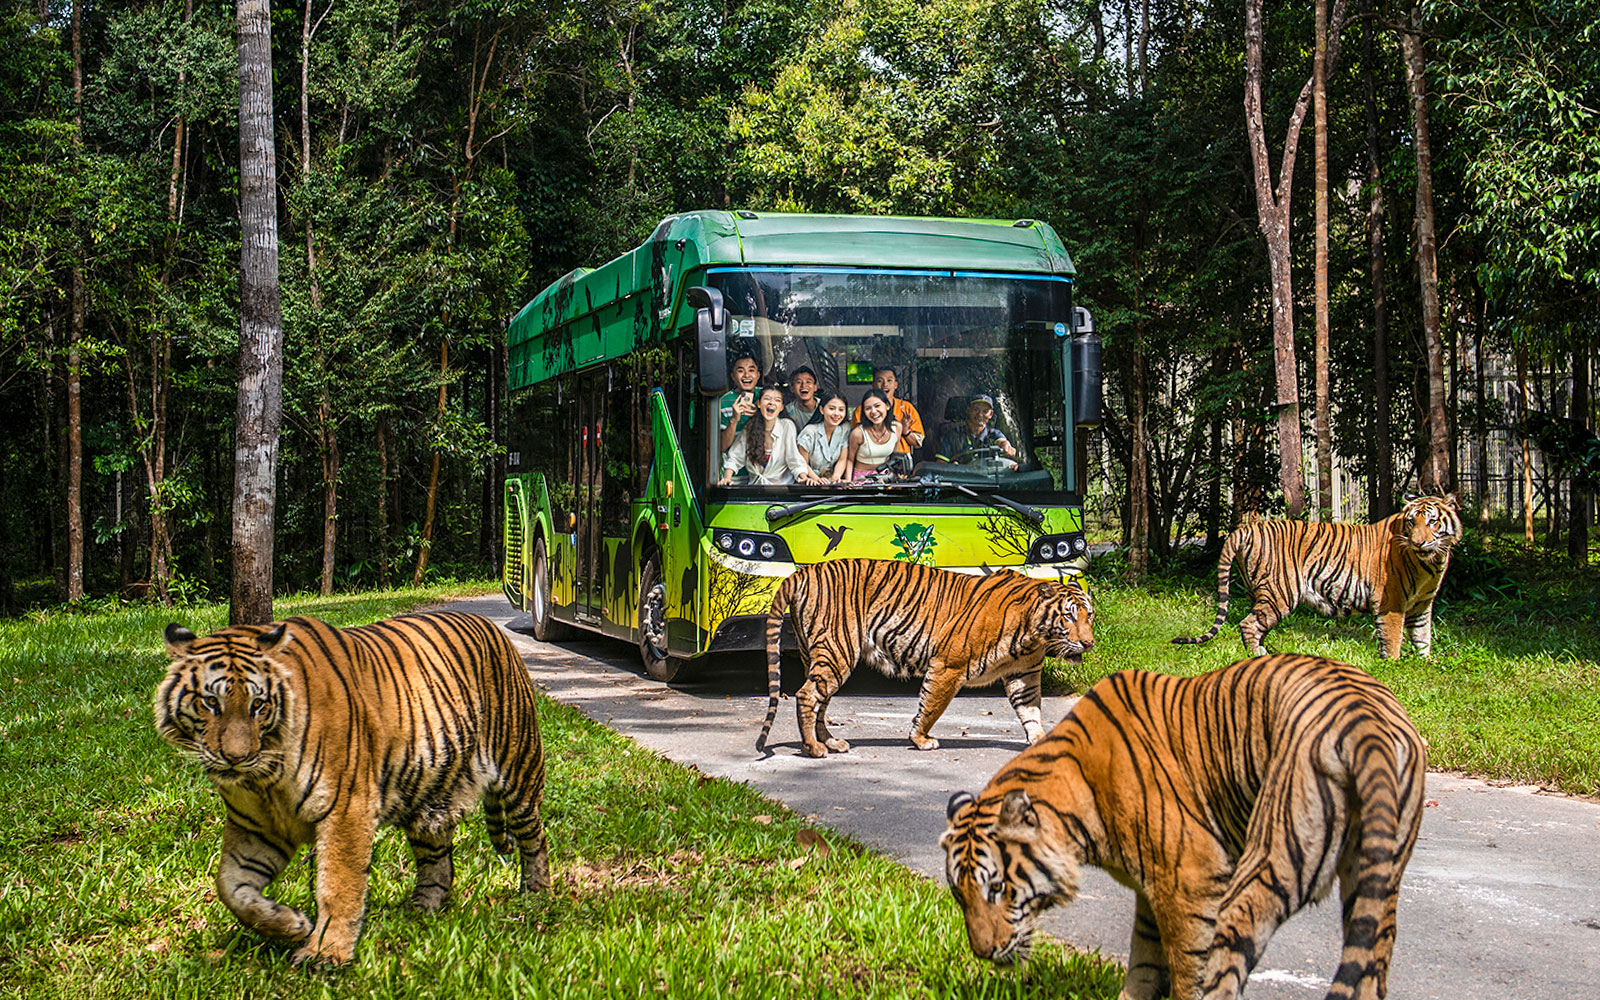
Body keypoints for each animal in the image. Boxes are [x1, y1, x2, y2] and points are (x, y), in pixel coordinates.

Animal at [154, 611, 548, 966]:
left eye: (258, 704)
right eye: (211, 702)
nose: (236, 757)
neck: (265, 778)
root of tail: (491, 627)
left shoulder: (346, 809)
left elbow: (337, 887)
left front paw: (325, 954)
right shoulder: (256, 827)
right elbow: (231, 887)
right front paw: (289, 924)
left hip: (520, 771)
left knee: (535, 839)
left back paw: (537, 895)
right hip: (428, 799)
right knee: (438, 863)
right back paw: (420, 911)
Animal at [754, 558, 1094, 758]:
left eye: (1089, 616)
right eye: (1068, 616)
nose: (1089, 643)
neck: (1033, 636)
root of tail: (802, 571)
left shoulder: (1024, 675)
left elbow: (1031, 711)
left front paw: (1041, 740)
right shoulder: (948, 665)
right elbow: (931, 707)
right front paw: (920, 739)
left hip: (820, 656)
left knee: (819, 700)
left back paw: (831, 743)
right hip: (838, 651)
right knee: (806, 695)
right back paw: (813, 748)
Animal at [942, 654, 1427, 1000]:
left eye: (997, 889)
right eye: (959, 895)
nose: (982, 952)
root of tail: (1365, 723)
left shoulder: (1190, 882)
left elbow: (1185, 970)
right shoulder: (1153, 890)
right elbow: (1143, 965)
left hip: (1269, 863)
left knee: (1226, 970)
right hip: (1374, 880)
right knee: (1372, 966)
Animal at [1173, 493, 1462, 658]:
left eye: (1432, 522)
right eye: (1412, 522)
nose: (1418, 543)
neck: (1431, 562)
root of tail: (1247, 528)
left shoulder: (1422, 604)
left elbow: (1422, 635)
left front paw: (1426, 662)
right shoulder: (1391, 602)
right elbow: (1393, 637)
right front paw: (1393, 664)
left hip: (1261, 592)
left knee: (1256, 623)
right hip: (1280, 593)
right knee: (1249, 624)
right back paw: (1257, 656)